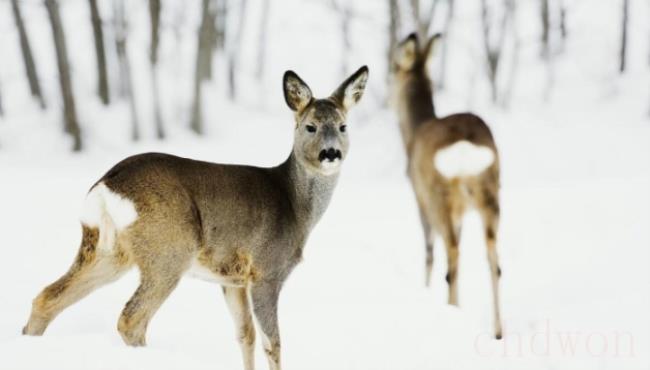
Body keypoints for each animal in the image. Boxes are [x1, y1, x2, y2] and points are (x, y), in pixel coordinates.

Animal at [22, 65, 368, 368]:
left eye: (343, 127)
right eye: (310, 126)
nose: (331, 153)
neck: (295, 205)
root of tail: (106, 185)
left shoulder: (232, 278)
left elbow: (245, 336)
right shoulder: (267, 270)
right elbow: (273, 342)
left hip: (108, 249)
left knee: (46, 297)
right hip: (169, 249)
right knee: (131, 319)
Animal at [390, 33, 502, 340]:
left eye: (393, 69)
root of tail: (464, 147)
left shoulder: (419, 196)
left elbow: (428, 252)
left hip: (440, 196)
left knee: (452, 255)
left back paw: (453, 310)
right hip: (490, 193)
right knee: (493, 261)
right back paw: (498, 331)